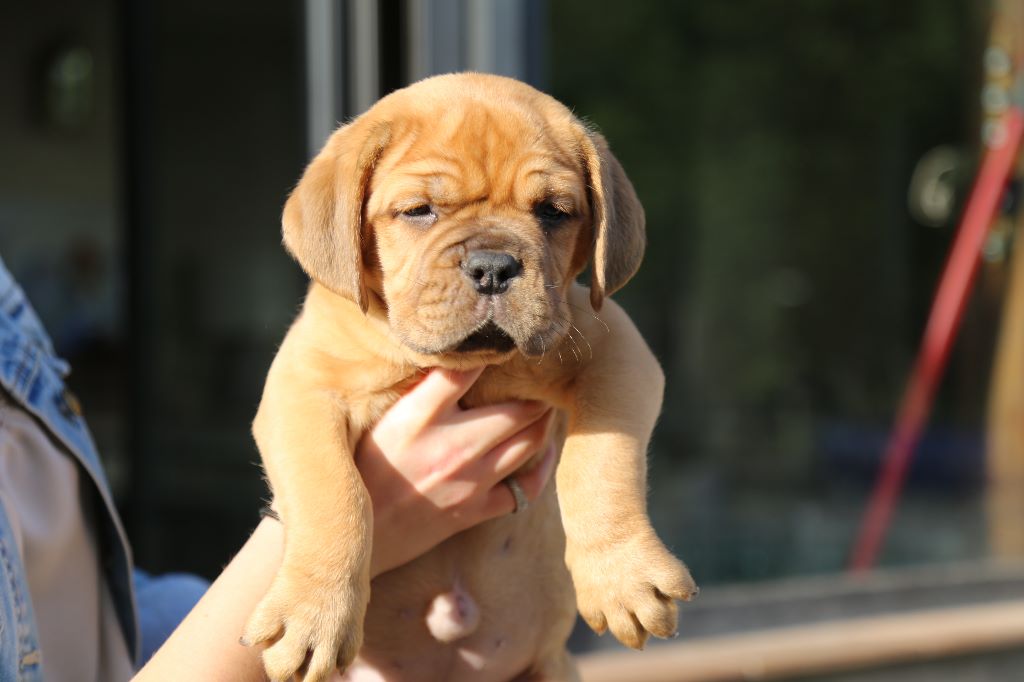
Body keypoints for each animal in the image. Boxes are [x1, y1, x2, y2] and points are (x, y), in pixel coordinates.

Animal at [242, 73, 697, 682]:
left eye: (554, 212)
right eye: (418, 211)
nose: (493, 267)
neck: (465, 367)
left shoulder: (618, 352)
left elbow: (601, 461)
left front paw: (623, 576)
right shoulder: (303, 390)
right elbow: (334, 494)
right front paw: (312, 614)